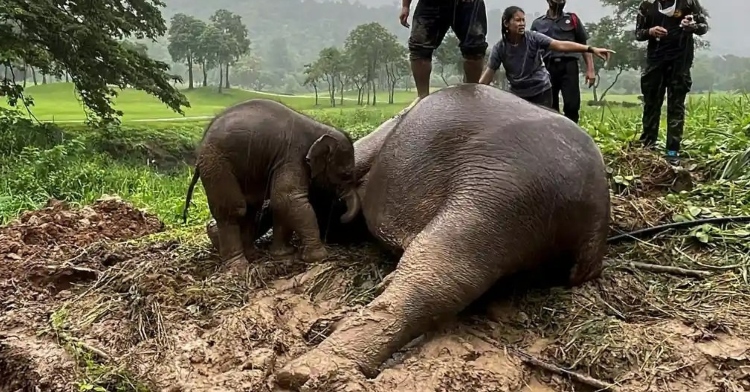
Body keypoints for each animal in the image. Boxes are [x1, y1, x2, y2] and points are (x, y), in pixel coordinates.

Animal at [181, 99, 360, 270]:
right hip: (216, 164)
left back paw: (253, 255)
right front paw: (319, 257)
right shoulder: (293, 156)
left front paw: (284, 254)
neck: (319, 128)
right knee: (234, 209)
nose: (342, 217)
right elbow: (287, 198)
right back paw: (239, 267)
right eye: (346, 174)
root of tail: (199, 150)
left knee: (250, 208)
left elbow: (280, 203)